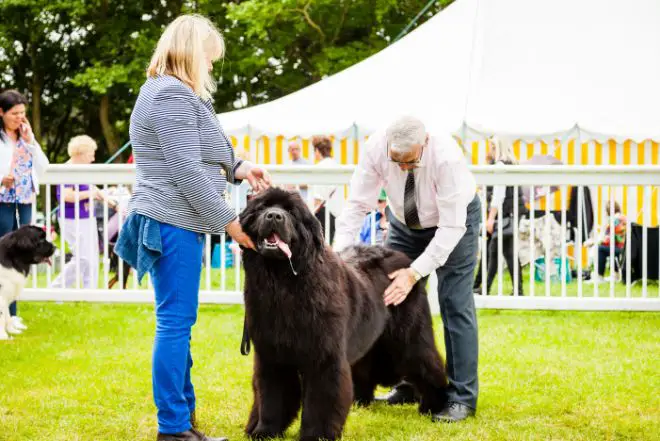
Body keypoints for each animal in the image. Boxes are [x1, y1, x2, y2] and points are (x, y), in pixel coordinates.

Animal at [240, 187, 446, 438]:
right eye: (262, 208)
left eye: (291, 212)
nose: (274, 216)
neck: (283, 283)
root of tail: (403, 261)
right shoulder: (272, 355)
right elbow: (272, 395)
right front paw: (265, 430)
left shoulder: (324, 356)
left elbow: (321, 398)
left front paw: (316, 434)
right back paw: (361, 399)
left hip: (407, 338)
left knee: (427, 362)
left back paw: (436, 405)